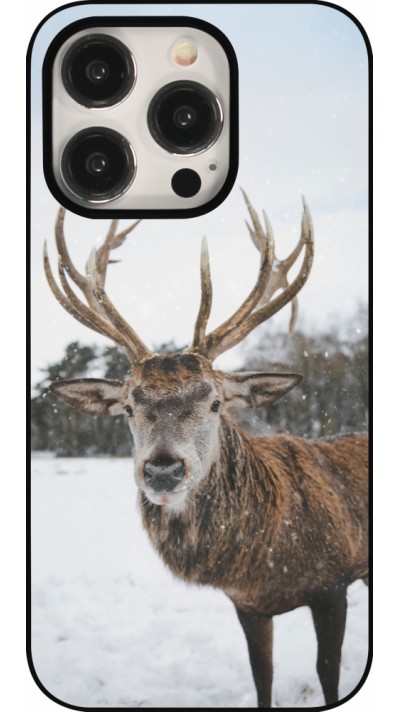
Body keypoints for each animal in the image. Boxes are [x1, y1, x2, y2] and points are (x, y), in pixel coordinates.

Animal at [43, 192, 368, 708]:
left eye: (215, 402)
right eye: (129, 407)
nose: (162, 470)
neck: (266, 558)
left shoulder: (333, 581)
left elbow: (328, 673)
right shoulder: (248, 604)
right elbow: (262, 675)